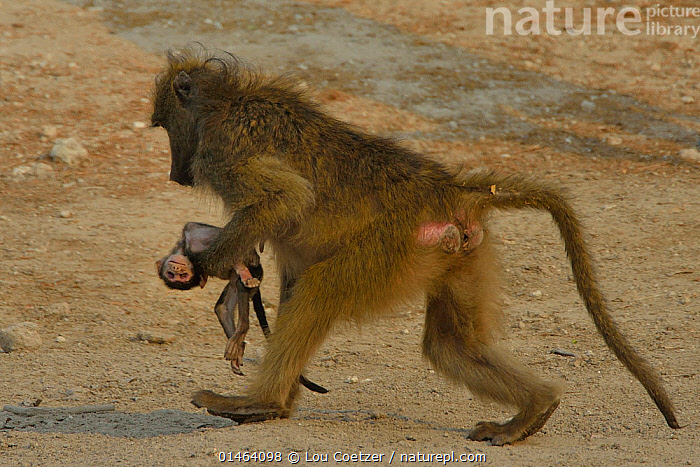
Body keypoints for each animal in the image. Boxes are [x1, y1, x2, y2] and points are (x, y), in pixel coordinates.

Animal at [150, 48, 680, 444]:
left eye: (161, 125)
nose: (175, 175)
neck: (225, 101)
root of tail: (449, 189)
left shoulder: (222, 149)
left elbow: (287, 198)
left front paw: (208, 263)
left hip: (389, 251)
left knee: (320, 290)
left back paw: (260, 403)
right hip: (458, 253)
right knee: (451, 344)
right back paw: (534, 410)